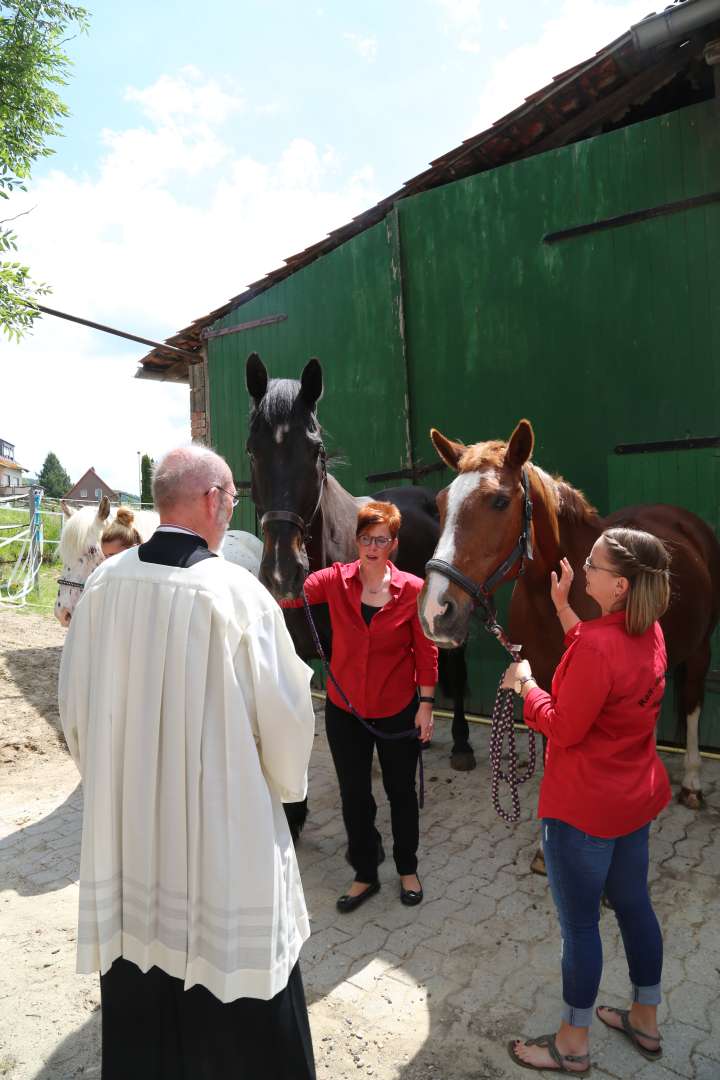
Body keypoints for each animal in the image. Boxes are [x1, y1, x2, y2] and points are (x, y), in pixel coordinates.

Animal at [245, 352, 474, 833]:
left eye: (316, 451)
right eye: (253, 449)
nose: (282, 572)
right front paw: (295, 813)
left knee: (457, 667)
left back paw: (462, 744)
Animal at [416, 416, 720, 807]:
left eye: (500, 501)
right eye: (441, 503)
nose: (435, 610)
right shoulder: (547, 685)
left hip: (701, 648)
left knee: (693, 701)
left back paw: (692, 782)